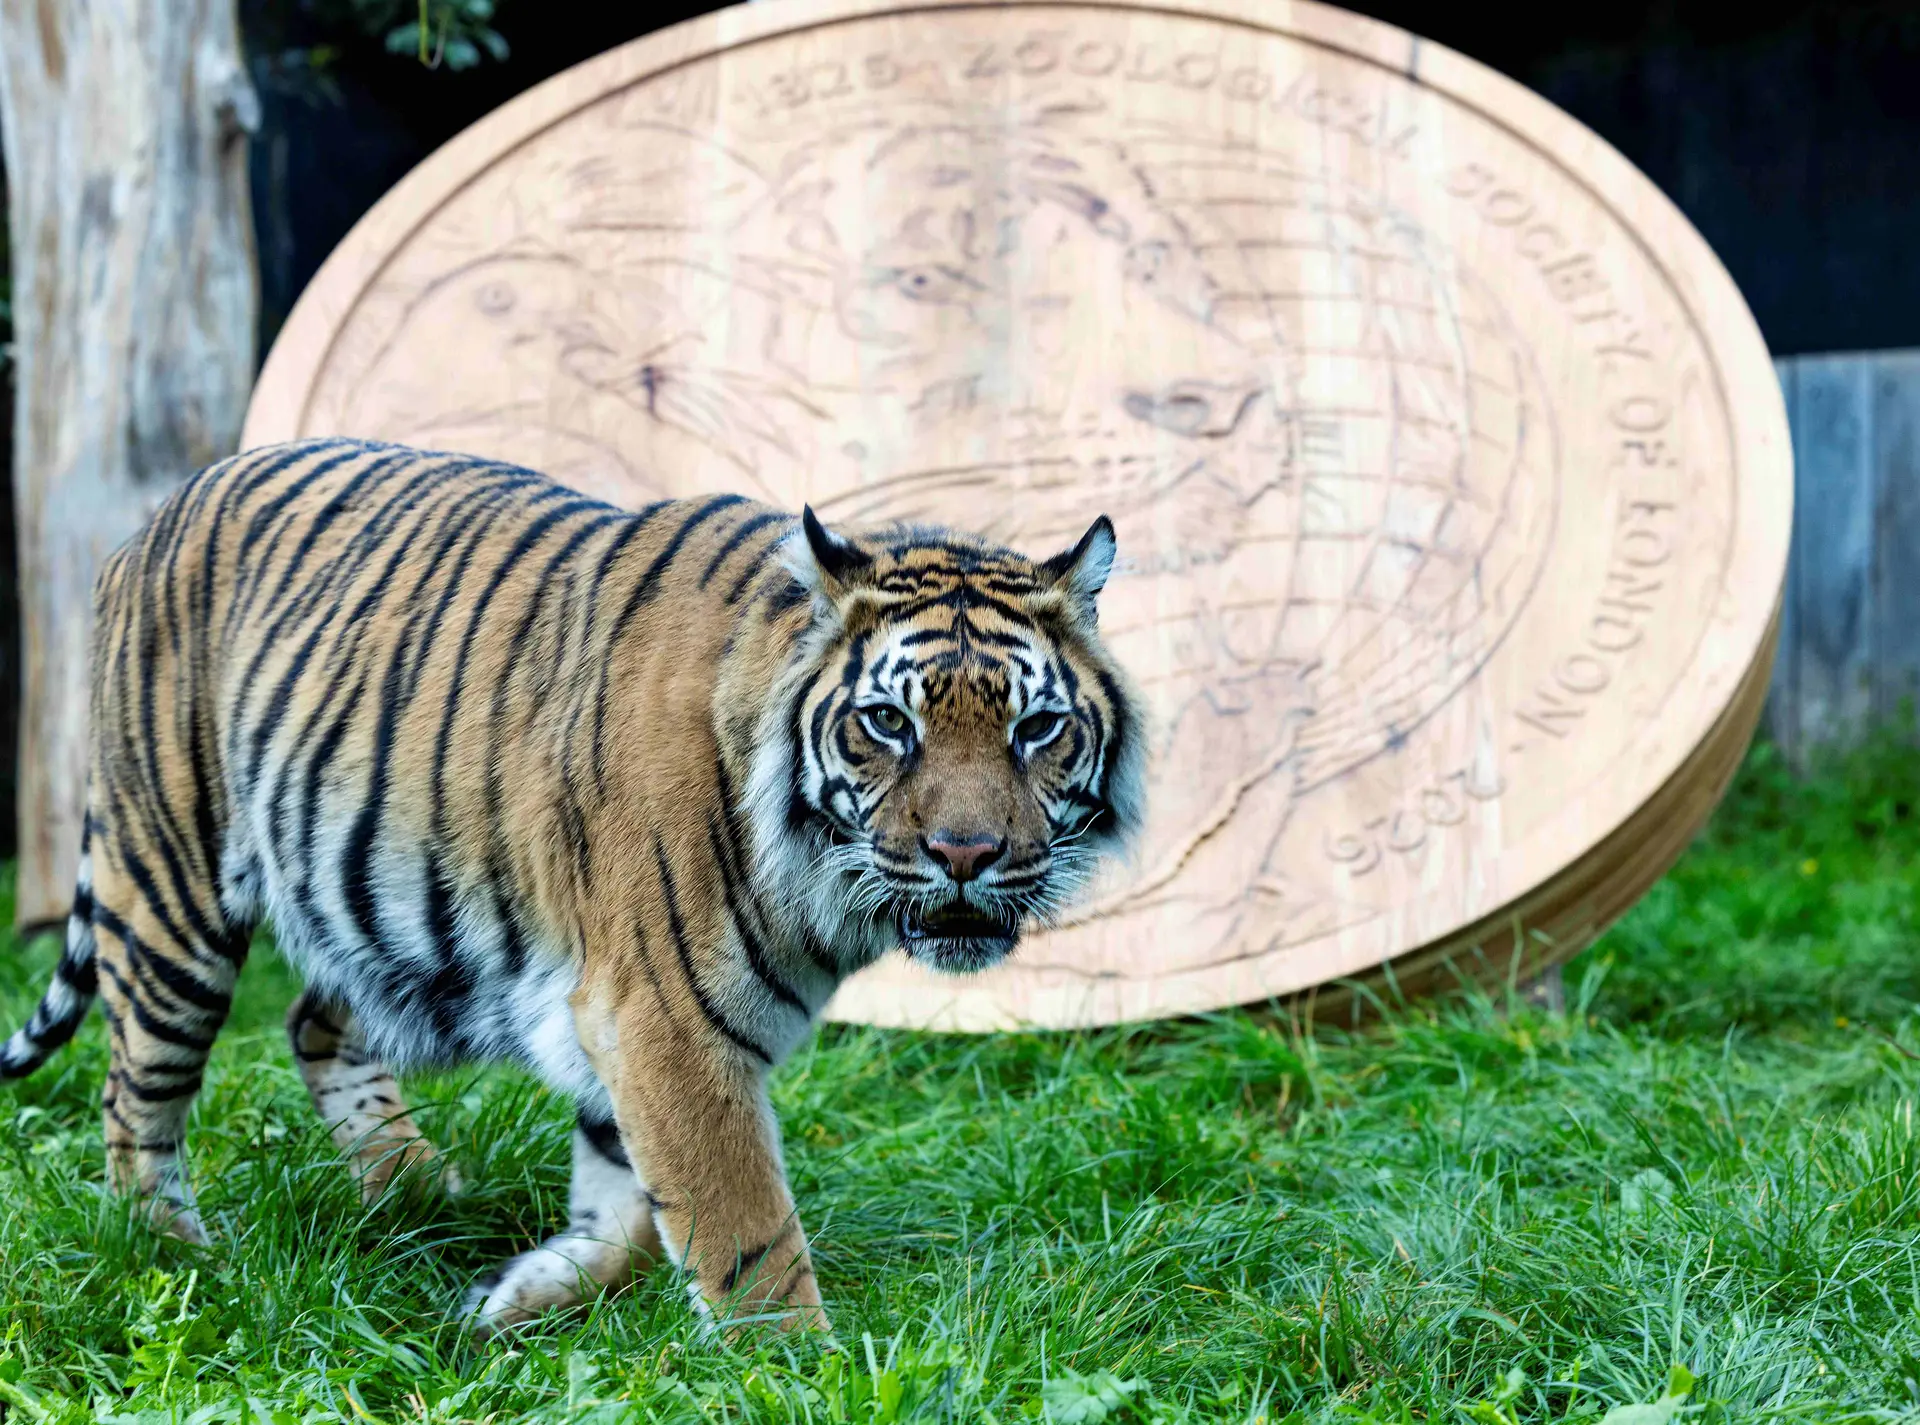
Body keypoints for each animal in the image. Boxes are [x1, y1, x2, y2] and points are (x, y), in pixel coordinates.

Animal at [0, 438, 1144, 1333]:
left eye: (1037, 728)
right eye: (888, 723)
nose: (967, 853)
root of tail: (171, 502)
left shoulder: (620, 1022)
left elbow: (634, 1205)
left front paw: (528, 1289)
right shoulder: (662, 1019)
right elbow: (744, 1232)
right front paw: (797, 1370)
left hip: (378, 908)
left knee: (315, 1020)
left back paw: (417, 1191)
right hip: (171, 894)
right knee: (134, 1096)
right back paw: (173, 1260)